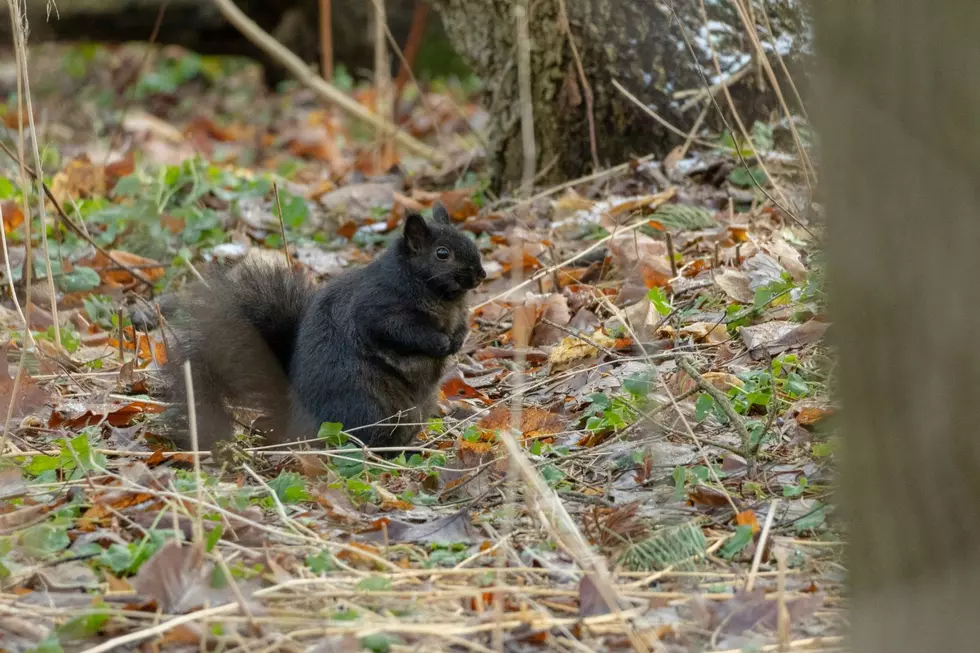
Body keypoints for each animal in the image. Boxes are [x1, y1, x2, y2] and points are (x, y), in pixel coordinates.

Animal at [161, 203, 487, 451]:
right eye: (442, 253)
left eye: (471, 243)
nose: (481, 275)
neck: (442, 298)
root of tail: (295, 421)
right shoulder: (378, 309)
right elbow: (401, 332)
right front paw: (439, 342)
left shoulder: (458, 313)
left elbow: (461, 326)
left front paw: (458, 339)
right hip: (363, 406)